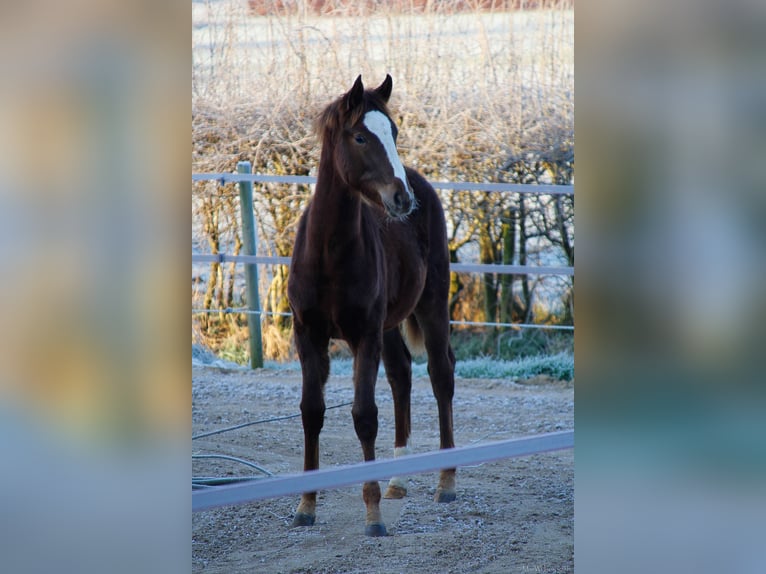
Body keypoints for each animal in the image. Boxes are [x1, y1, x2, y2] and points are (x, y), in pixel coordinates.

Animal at [288, 74, 456, 536]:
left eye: (394, 133)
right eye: (360, 136)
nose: (402, 200)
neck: (328, 254)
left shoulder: (363, 335)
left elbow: (364, 415)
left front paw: (373, 514)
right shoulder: (308, 334)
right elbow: (312, 411)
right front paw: (305, 506)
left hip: (431, 306)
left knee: (441, 376)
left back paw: (446, 481)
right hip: (390, 325)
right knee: (402, 376)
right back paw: (398, 480)